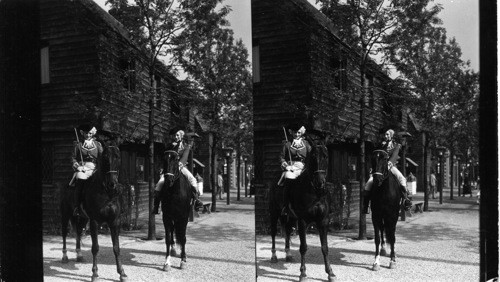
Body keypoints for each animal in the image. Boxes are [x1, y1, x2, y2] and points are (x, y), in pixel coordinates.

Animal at [76, 145, 128, 282]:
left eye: (118, 157)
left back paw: (79, 255)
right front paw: (94, 273)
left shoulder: (115, 222)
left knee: (78, 233)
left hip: (83, 219)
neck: (106, 193)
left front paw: (121, 273)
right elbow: (95, 248)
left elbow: (116, 248)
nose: (112, 184)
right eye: (105, 158)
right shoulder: (94, 222)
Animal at [288, 140, 334, 280]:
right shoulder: (302, 221)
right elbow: (303, 247)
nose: (320, 182)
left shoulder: (323, 221)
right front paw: (303, 273)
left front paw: (330, 272)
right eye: (313, 157)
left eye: (326, 156)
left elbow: (324, 247)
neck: (315, 193)